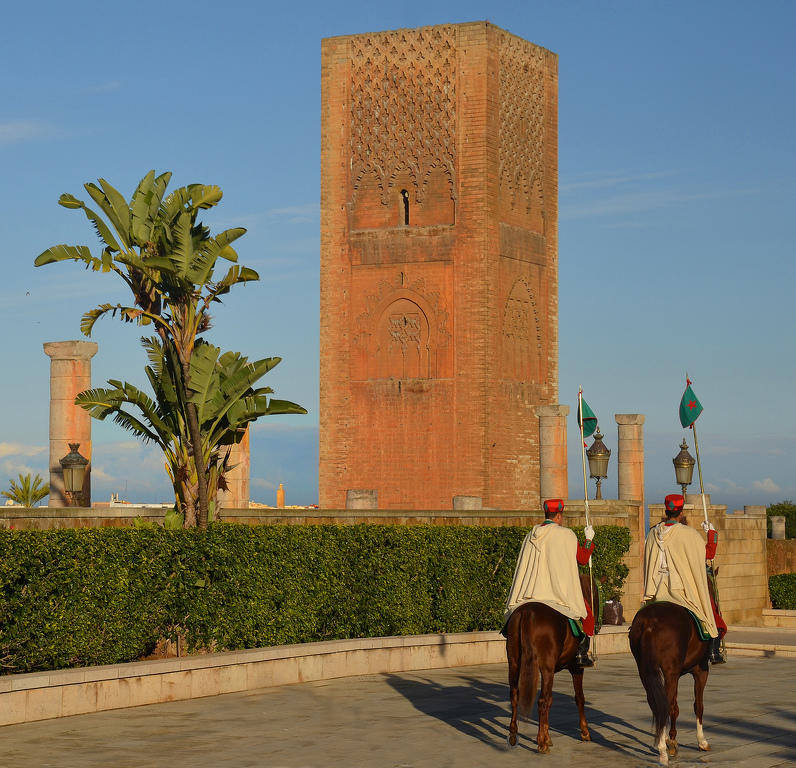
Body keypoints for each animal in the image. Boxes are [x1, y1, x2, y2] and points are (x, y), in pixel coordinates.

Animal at [504, 576, 596, 752]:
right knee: (541, 701)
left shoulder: (550, 670)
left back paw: (513, 734)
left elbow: (551, 699)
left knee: (515, 695)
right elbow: (579, 698)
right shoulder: (575, 668)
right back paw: (541, 744)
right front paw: (585, 731)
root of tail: (527, 613)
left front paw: (547, 734)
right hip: (546, 668)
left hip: (514, 663)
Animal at [632, 604, 712, 764]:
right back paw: (662, 751)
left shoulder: (676, 674)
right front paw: (701, 741)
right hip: (670, 673)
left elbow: (675, 708)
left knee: (657, 704)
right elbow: (698, 706)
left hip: (645, 670)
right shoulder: (701, 671)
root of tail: (651, 620)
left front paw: (672, 739)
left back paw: (663, 741)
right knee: (665, 704)